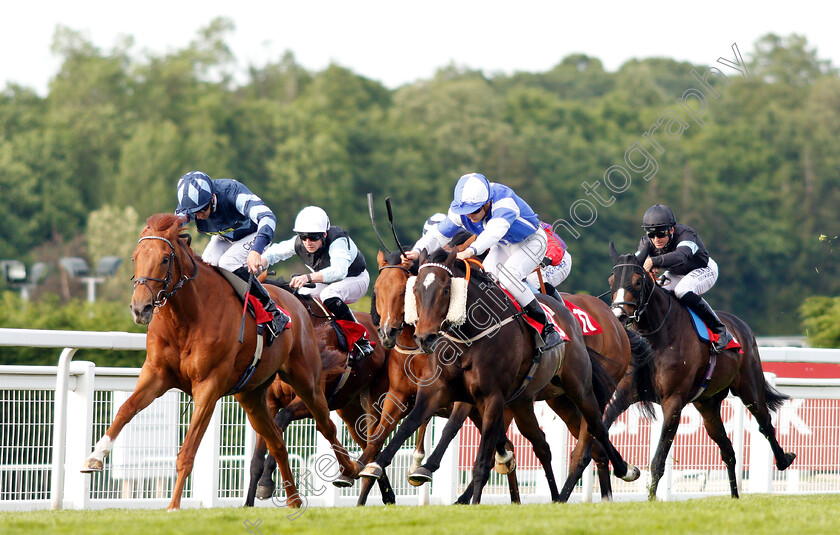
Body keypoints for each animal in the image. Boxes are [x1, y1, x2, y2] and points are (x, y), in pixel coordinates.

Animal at [81, 214, 360, 510]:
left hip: (307, 379)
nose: (140, 308)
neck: (187, 317)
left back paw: (350, 470)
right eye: (135, 257)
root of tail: (298, 303)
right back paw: (293, 500)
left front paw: (173, 506)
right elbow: (125, 409)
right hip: (253, 395)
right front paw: (95, 457)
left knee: (326, 425)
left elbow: (188, 451)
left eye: (165, 259)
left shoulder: (208, 386)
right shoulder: (156, 375)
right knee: (276, 442)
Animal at [358, 249, 640, 504]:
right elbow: (398, 430)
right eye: (414, 290)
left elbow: (475, 453)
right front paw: (371, 468)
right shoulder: (424, 392)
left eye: (446, 290)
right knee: (548, 445)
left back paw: (624, 471)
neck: (468, 336)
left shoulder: (488, 398)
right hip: (533, 400)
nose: (423, 337)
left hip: (579, 387)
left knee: (596, 428)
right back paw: (559, 497)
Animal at [608, 244, 796, 502]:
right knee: (728, 450)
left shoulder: (673, 402)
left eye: (637, 281)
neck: (656, 336)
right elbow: (601, 424)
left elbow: (658, 460)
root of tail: (741, 325)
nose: (618, 316)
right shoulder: (626, 393)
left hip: (750, 388)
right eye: (611, 281)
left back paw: (784, 459)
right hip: (708, 406)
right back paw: (734, 496)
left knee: (765, 423)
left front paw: (652, 499)